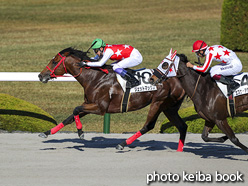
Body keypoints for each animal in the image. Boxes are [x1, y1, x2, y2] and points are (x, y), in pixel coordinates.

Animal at [38, 47, 188, 151]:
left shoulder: (100, 108)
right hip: (170, 107)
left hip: (158, 103)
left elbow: (75, 109)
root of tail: (177, 78)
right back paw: (179, 150)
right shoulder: (89, 104)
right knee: (182, 126)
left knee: (148, 125)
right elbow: (69, 117)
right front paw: (46, 133)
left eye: (54, 61)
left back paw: (122, 144)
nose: (40, 75)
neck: (94, 77)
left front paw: (80, 133)